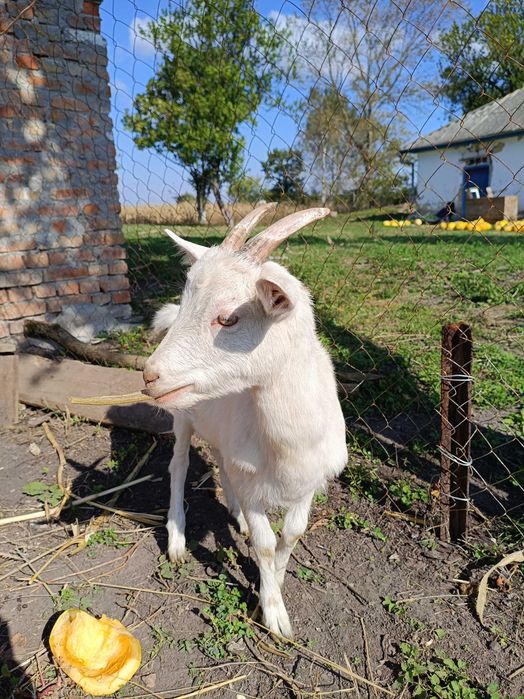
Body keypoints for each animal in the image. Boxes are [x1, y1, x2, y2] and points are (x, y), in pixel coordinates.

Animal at [143, 204, 347, 637]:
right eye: (185, 302)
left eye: (228, 319)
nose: (149, 375)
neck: (287, 446)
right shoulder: (254, 484)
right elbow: (265, 543)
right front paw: (273, 613)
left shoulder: (309, 483)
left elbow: (291, 535)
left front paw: (277, 581)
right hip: (182, 418)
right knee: (179, 466)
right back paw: (177, 538)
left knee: (222, 464)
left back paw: (234, 515)